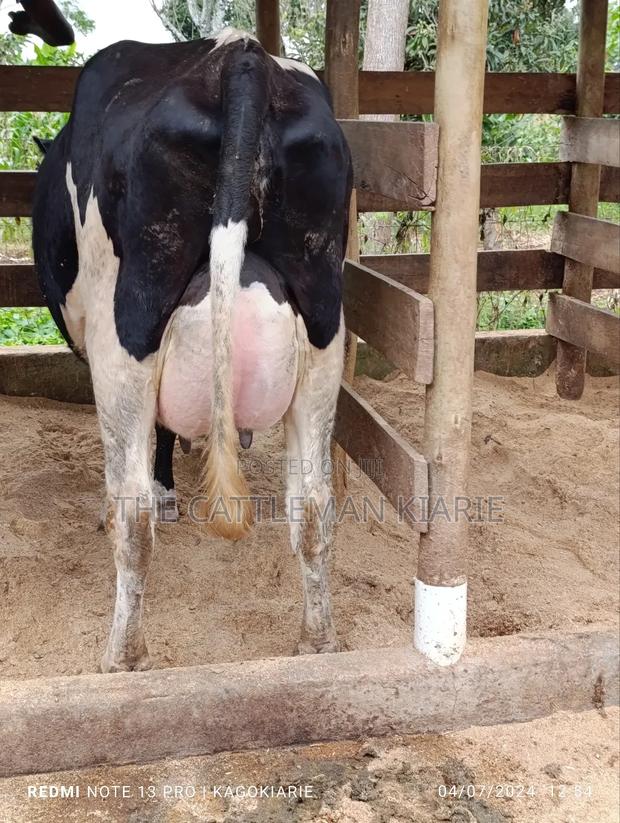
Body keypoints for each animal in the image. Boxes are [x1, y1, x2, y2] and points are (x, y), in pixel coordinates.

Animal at [32, 28, 353, 673]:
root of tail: (241, 57)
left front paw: (164, 487)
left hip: (125, 328)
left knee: (131, 514)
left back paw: (123, 657)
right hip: (323, 323)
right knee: (313, 502)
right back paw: (317, 642)